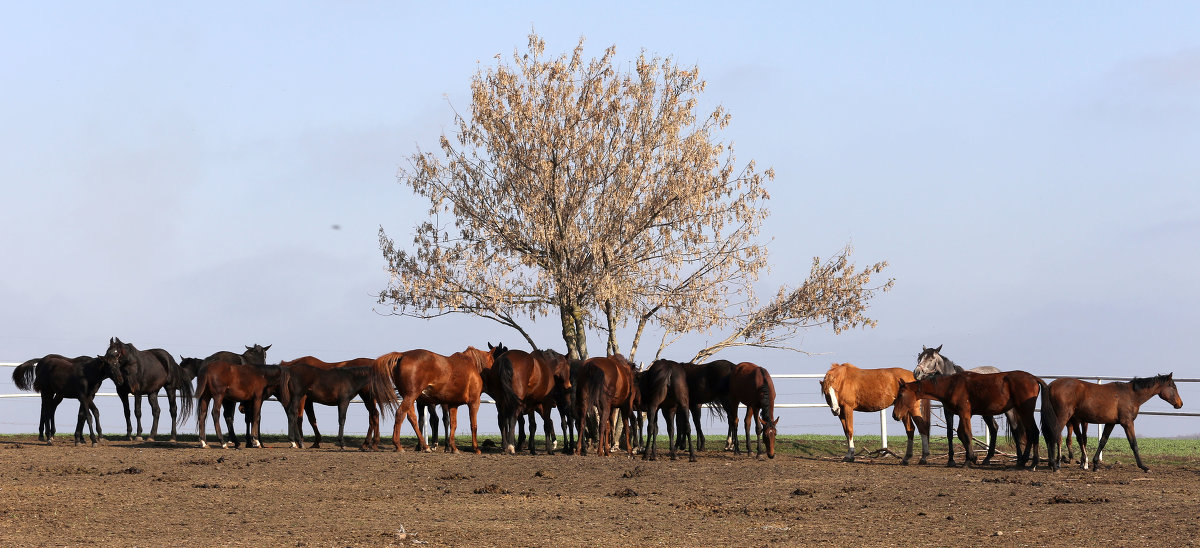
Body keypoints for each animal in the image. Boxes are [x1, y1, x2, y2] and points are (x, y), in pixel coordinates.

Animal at [376, 340, 504, 453]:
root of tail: (402, 355)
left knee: (413, 418)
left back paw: (425, 446)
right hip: (411, 396)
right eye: (494, 360)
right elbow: (473, 425)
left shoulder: (453, 404)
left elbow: (453, 424)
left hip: (411, 399)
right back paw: (399, 445)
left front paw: (453, 448)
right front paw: (476, 448)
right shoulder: (474, 402)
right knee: (400, 414)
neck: (473, 366)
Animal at [892, 366, 1051, 465]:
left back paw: (1032, 462)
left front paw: (969, 460)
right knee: (1028, 432)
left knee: (1033, 432)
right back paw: (1023, 460)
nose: (895, 415)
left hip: (1024, 411)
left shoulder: (964, 413)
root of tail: (1033, 378)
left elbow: (967, 435)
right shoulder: (962, 414)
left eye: (900, 395)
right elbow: (961, 434)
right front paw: (972, 457)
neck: (952, 385)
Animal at [1046, 374, 1185, 472]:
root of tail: (1051, 385)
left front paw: (1095, 464)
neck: (1131, 395)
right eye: (1173, 387)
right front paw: (1144, 467)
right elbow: (1134, 444)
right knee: (1055, 436)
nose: (1180, 403)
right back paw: (1055, 464)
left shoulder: (1110, 423)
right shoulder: (1127, 423)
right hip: (1063, 417)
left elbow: (1103, 441)